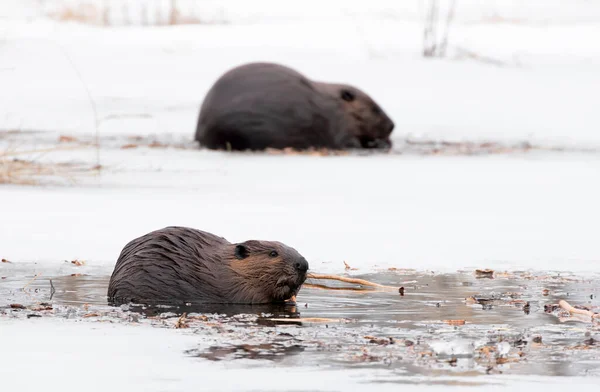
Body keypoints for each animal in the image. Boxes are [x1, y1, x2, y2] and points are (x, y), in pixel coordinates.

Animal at [195, 62, 396, 152]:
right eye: (375, 109)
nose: (392, 125)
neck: (333, 105)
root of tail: (199, 133)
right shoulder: (338, 123)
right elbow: (346, 142)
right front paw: (378, 143)